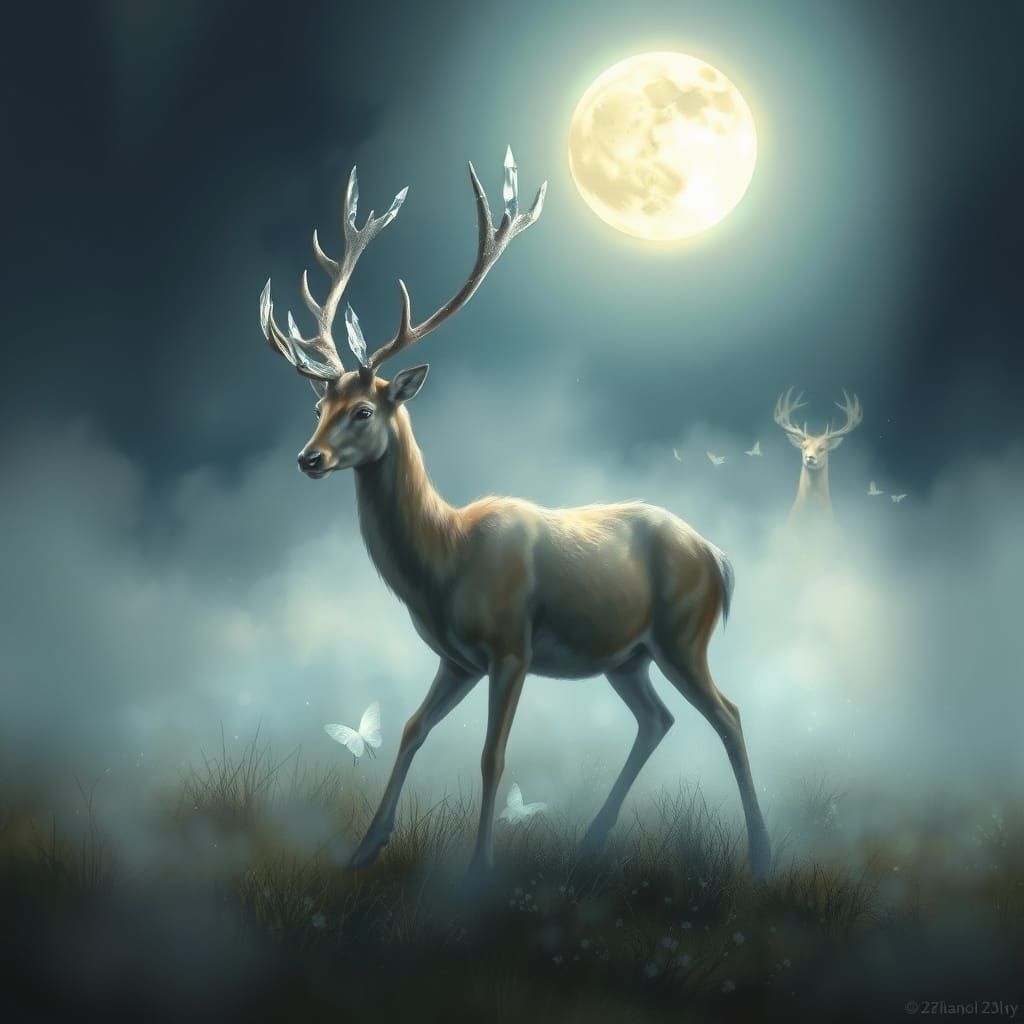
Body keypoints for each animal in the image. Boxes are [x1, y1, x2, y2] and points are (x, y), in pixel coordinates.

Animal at [258, 149, 771, 881]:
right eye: (316, 406)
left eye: (363, 410)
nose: (308, 458)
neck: (445, 562)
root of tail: (718, 556)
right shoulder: (458, 659)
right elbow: (411, 729)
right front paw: (362, 850)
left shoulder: (510, 646)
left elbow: (491, 756)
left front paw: (477, 871)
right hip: (628, 657)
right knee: (658, 720)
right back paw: (590, 841)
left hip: (682, 634)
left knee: (727, 714)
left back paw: (761, 851)